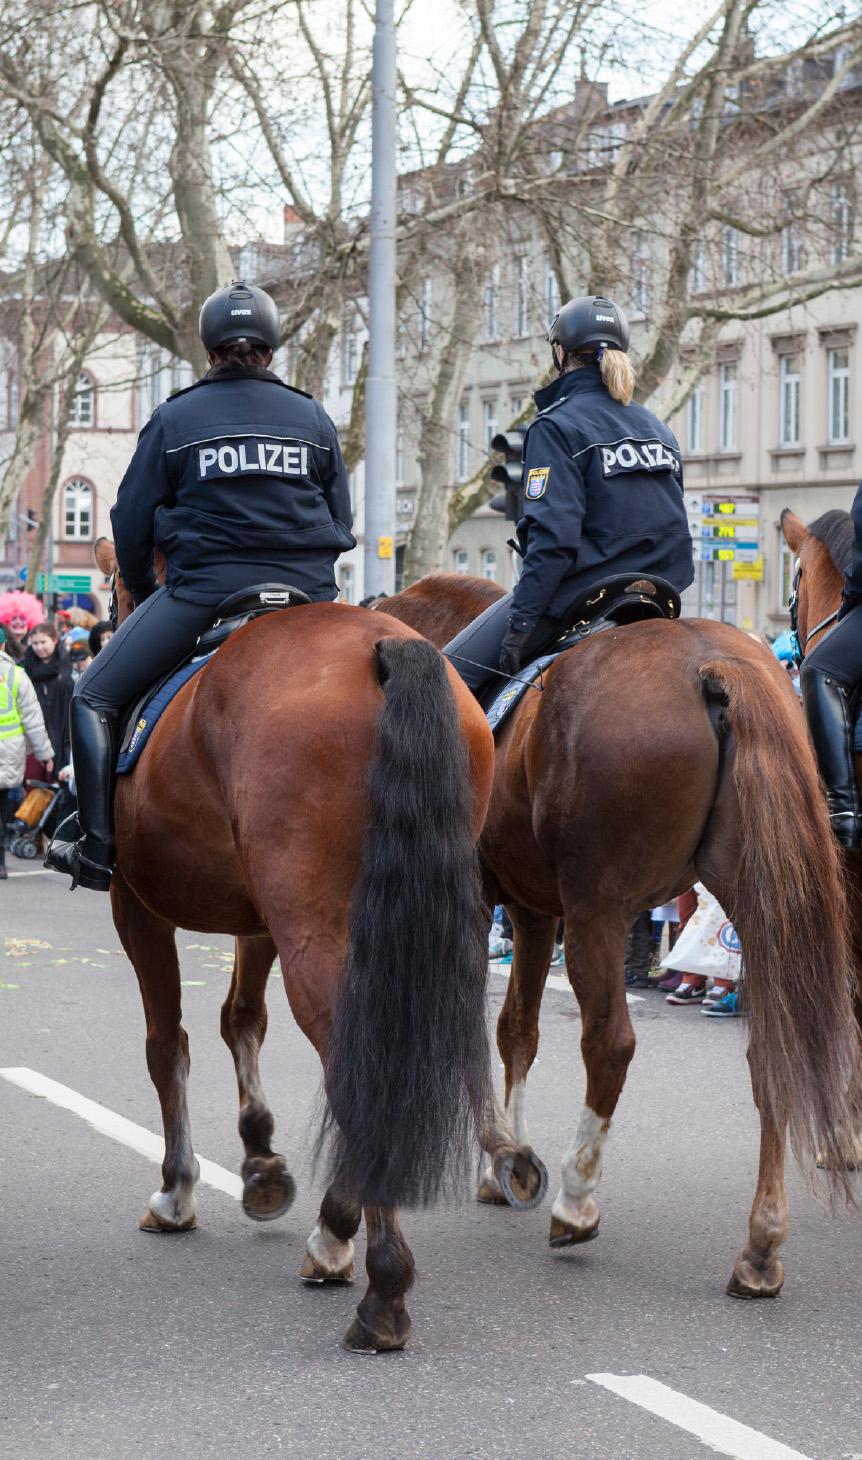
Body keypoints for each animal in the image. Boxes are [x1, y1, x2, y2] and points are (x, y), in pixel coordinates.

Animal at [92, 543, 499, 1349]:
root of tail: (388, 645)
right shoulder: (258, 920)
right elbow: (241, 1021)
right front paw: (261, 1163)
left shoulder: (137, 908)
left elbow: (167, 1044)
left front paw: (177, 1189)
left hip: (312, 926)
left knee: (354, 1058)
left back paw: (369, 1274)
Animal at [382, 569, 859, 1302]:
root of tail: (714, 664)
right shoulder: (532, 909)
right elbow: (518, 1030)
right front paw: (505, 1163)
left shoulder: (499, 906)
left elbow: (493, 1027)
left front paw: (508, 1158)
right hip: (756, 906)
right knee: (770, 1052)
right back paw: (760, 1247)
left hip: (598, 912)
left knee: (610, 1044)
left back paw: (577, 1200)